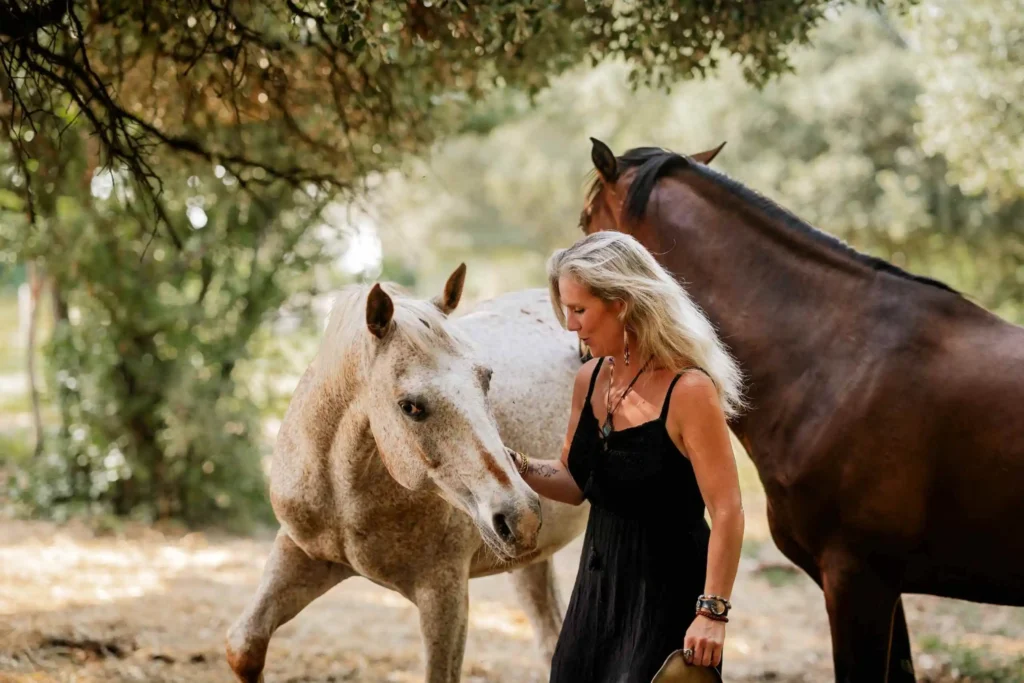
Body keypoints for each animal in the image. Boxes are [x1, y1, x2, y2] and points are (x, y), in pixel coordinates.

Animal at [226, 265, 591, 683]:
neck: (344, 497)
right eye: (410, 406)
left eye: (486, 378)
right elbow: (244, 647)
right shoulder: (300, 552)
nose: (520, 516)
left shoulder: (444, 592)